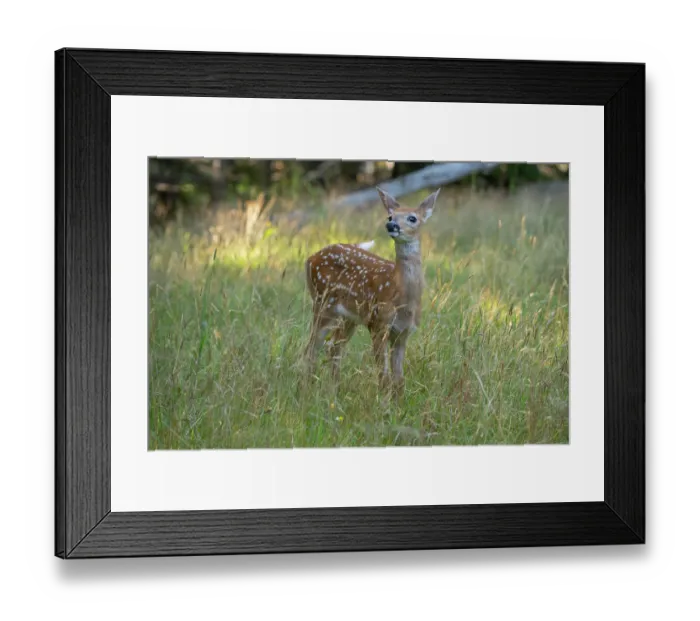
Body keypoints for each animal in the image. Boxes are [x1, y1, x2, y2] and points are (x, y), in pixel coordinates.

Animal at [303, 186, 440, 396]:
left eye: (412, 218)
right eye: (390, 216)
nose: (391, 225)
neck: (403, 299)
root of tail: (309, 259)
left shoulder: (403, 332)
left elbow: (399, 380)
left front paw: (398, 404)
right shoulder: (378, 323)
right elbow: (384, 378)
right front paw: (382, 404)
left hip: (348, 317)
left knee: (333, 347)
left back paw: (334, 393)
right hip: (323, 304)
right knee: (311, 348)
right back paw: (305, 391)